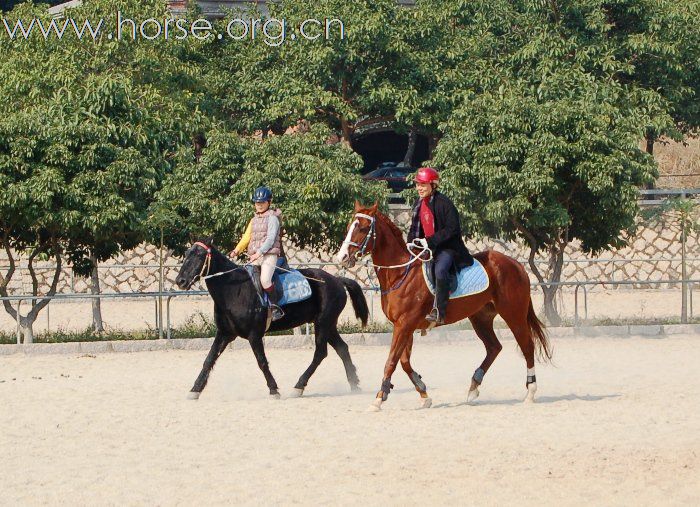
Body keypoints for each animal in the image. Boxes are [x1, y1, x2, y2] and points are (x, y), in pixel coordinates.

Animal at [174, 238, 366, 400]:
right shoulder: (224, 333)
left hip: (323, 324)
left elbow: (262, 362)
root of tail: (337, 280)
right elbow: (209, 359)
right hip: (328, 325)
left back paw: (299, 386)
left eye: (199, 255)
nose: (180, 281)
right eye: (187, 253)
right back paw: (354, 385)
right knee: (342, 348)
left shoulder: (254, 335)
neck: (234, 290)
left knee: (320, 353)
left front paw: (274, 389)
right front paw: (195, 390)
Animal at [334, 200, 552, 410]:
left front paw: (379, 398)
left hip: (513, 314)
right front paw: (423, 393)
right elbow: (404, 362)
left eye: (363, 228)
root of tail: (516, 264)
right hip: (480, 317)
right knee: (494, 347)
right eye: (349, 226)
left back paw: (530, 392)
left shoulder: (405, 324)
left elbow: (391, 362)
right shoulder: (404, 326)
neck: (401, 273)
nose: (342, 257)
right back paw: (474, 387)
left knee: (527, 346)